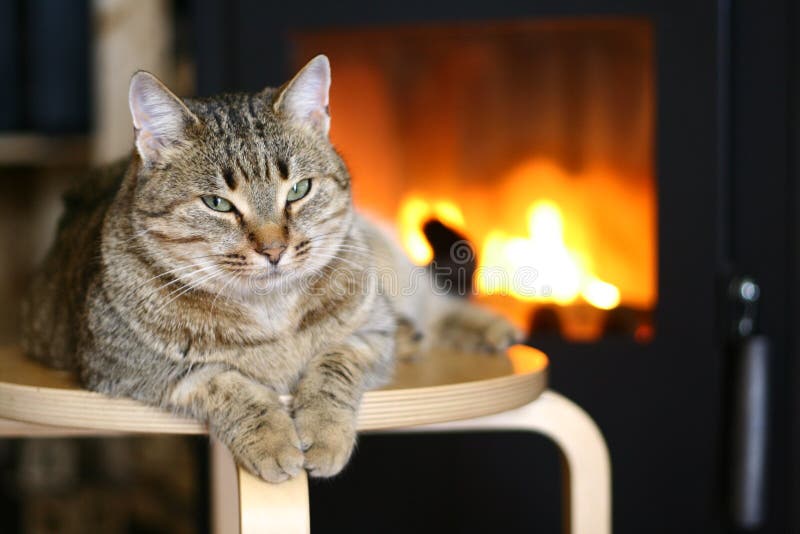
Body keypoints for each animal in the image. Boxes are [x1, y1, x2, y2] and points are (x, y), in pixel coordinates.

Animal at [20, 56, 520, 484]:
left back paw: (487, 329)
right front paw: (274, 440)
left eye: (298, 190)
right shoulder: (127, 370)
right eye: (217, 203)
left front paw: (323, 432)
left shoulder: (368, 331)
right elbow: (224, 382)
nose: (274, 249)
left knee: (433, 300)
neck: (270, 311)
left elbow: (333, 366)